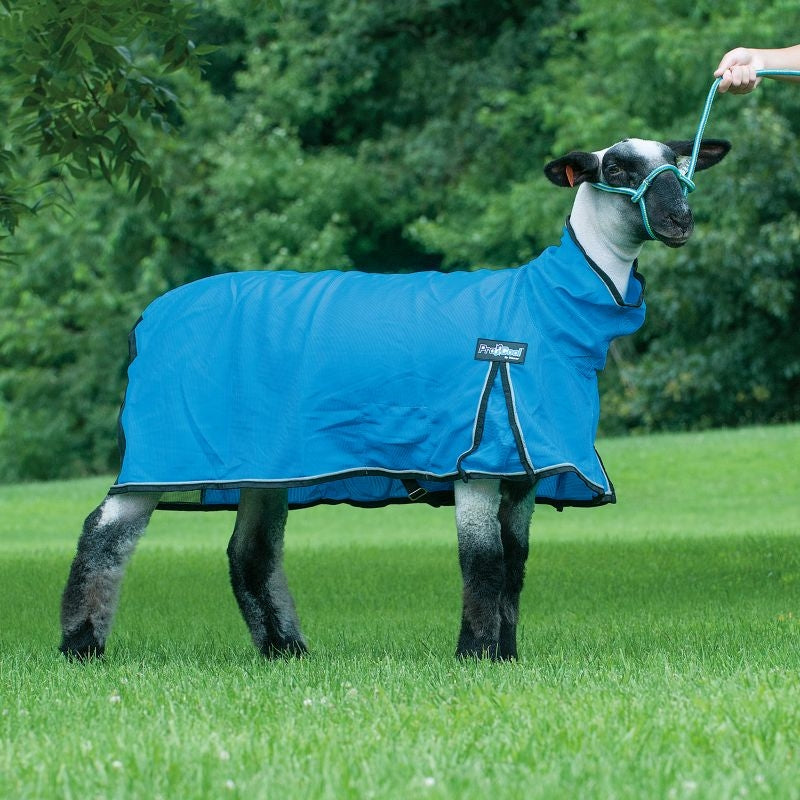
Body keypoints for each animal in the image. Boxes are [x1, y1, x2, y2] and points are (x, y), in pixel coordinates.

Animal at [59, 136, 730, 661]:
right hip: (163, 447)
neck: (544, 307)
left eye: (677, 162)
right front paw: (475, 655)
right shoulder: (477, 458)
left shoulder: (523, 466)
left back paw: (286, 651)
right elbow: (483, 563)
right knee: (105, 533)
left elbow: (516, 564)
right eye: (616, 167)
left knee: (250, 551)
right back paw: (81, 646)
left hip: (265, 462)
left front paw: (508, 655)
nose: (681, 221)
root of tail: (148, 318)